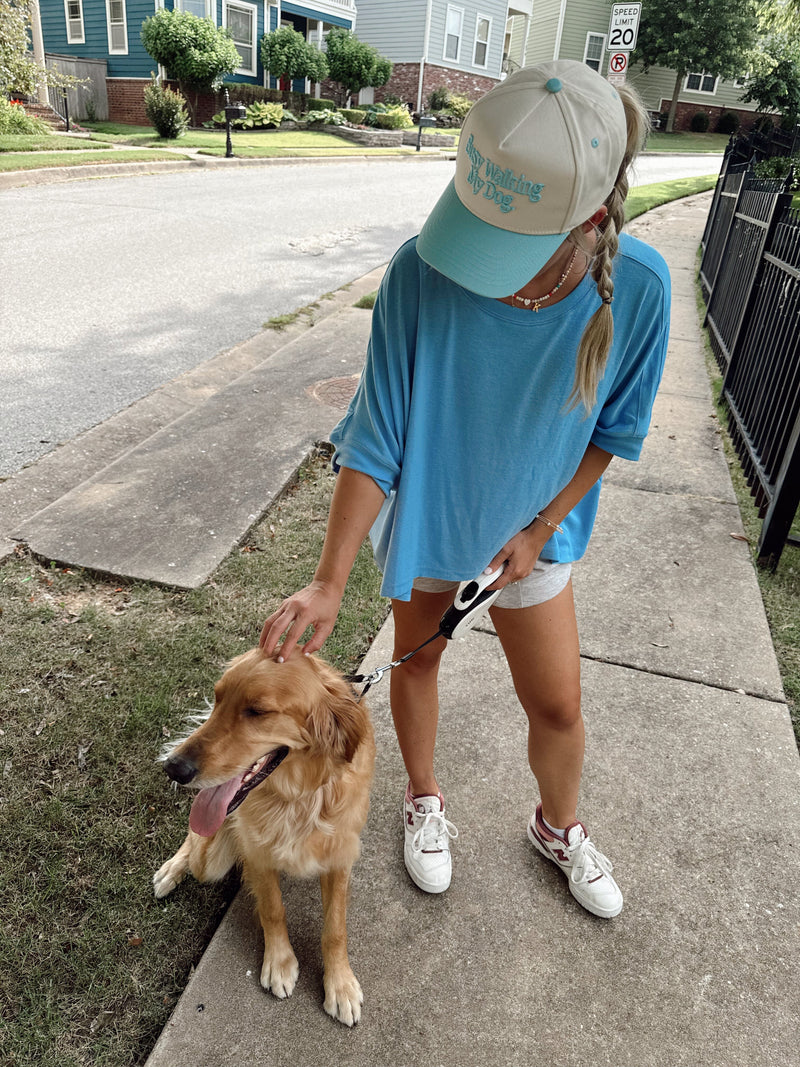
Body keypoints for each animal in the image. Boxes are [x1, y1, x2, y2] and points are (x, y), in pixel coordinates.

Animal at [153, 644, 375, 1028]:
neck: (297, 799)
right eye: (218, 698)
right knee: (194, 841)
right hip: (209, 859)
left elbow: (335, 928)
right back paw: (172, 870)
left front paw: (340, 984)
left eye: (257, 711)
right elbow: (272, 909)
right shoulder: (256, 852)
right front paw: (279, 962)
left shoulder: (340, 856)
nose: (173, 767)